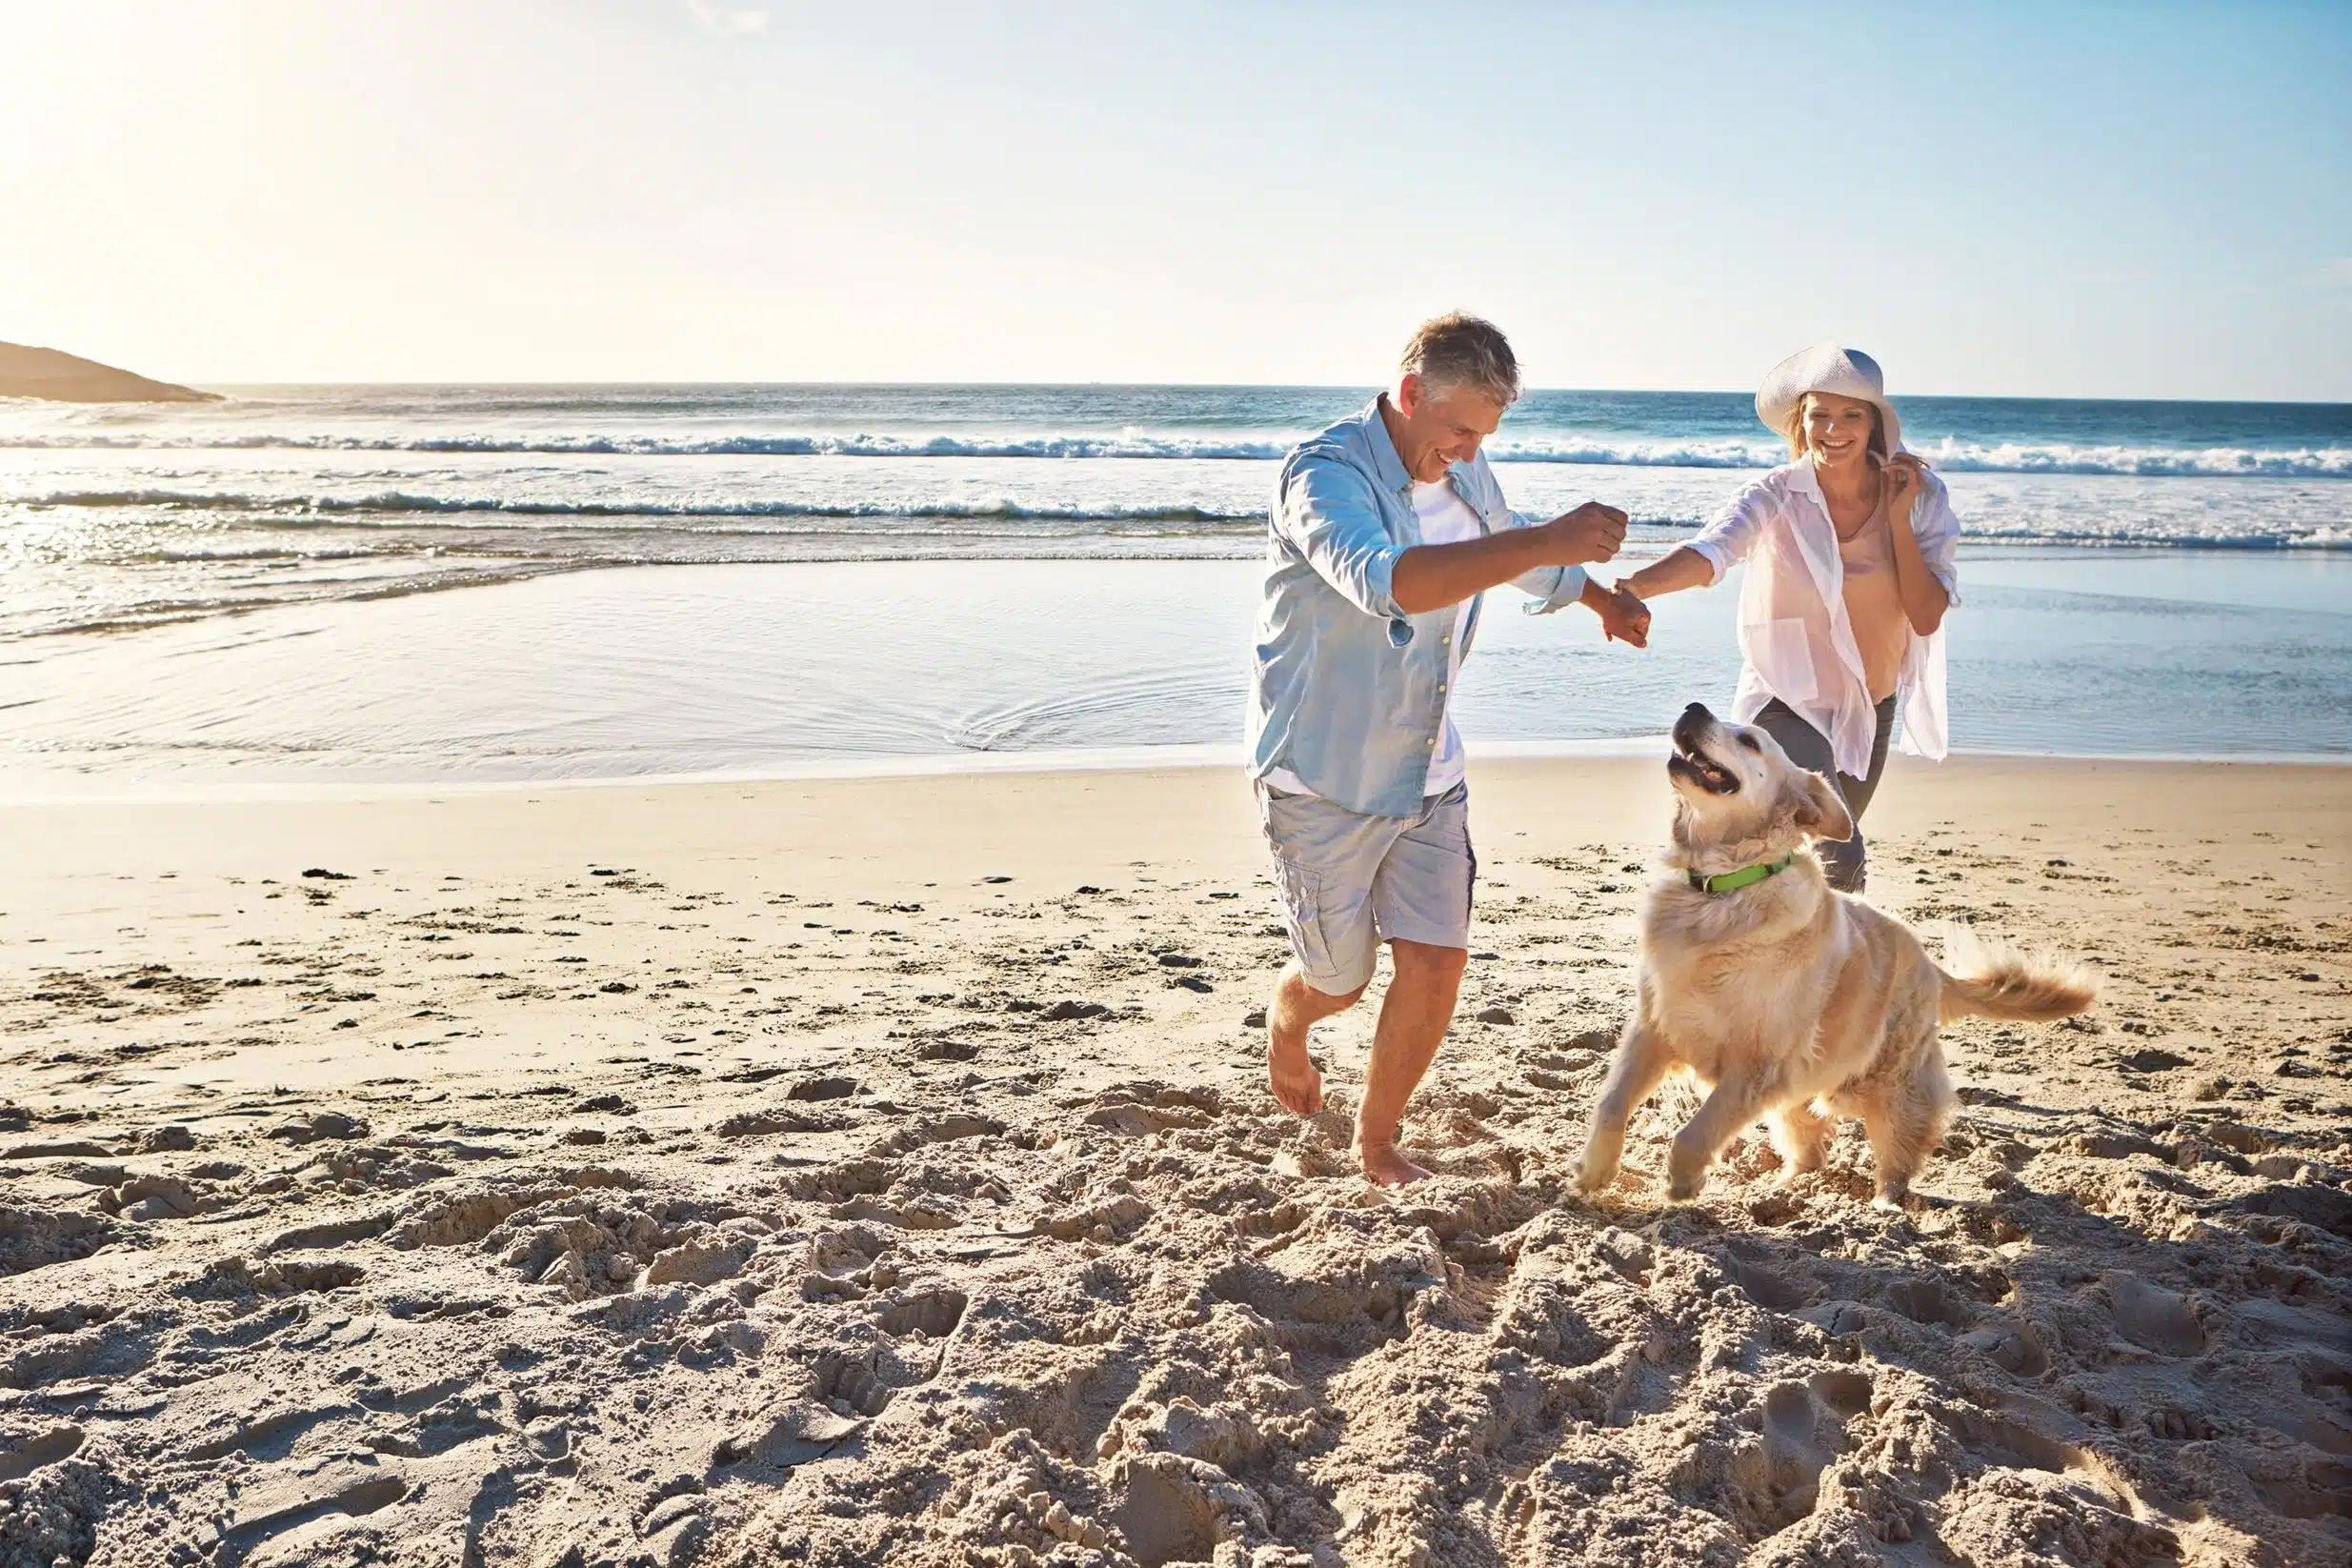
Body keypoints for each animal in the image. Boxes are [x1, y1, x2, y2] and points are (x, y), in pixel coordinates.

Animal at [1580, 705, 2098, 1213]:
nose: (1693, 708)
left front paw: (1681, 1183)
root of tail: (1930, 965)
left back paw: (1885, 1206)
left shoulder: (1757, 1065)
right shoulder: (1655, 1028)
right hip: (1805, 1087)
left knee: (1900, 1150)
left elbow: (1695, 1131)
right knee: (1810, 1149)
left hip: (1878, 1082)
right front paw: (1592, 1172)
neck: (1720, 890)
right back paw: (1779, 1191)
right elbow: (1610, 1104)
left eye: (1749, 740)